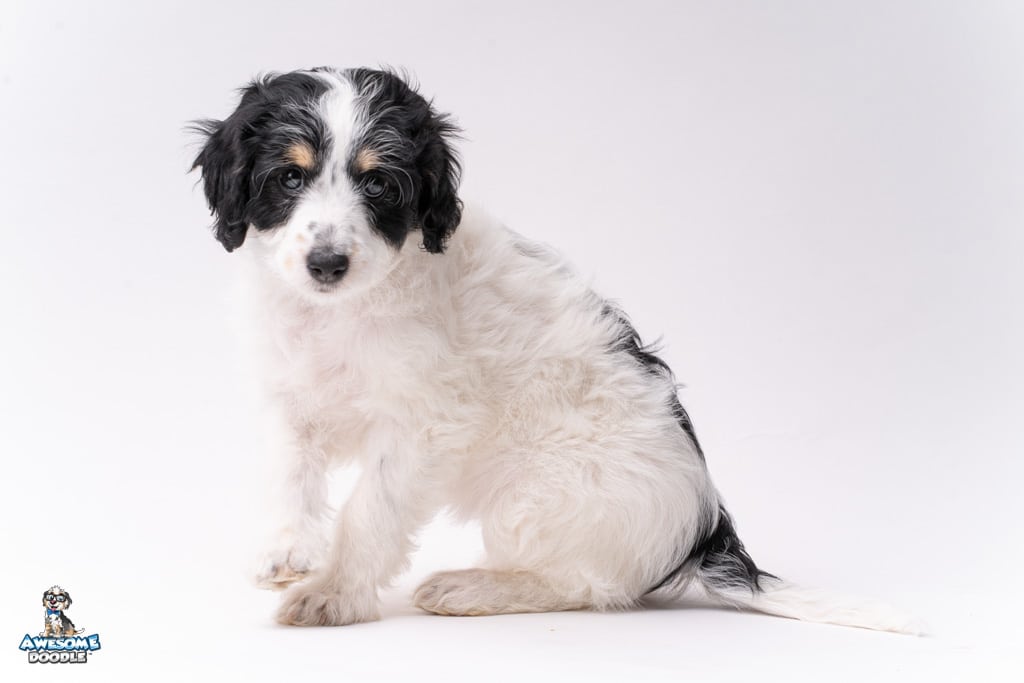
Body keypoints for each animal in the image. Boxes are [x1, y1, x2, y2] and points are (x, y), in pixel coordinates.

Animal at [192, 66, 921, 634]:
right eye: (289, 178)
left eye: (378, 185)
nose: (327, 263)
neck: (337, 312)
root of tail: (703, 535)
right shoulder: (291, 393)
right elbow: (291, 471)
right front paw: (288, 553)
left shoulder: (425, 423)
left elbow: (371, 510)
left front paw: (336, 593)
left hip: (536, 497)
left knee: (587, 584)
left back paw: (473, 586)